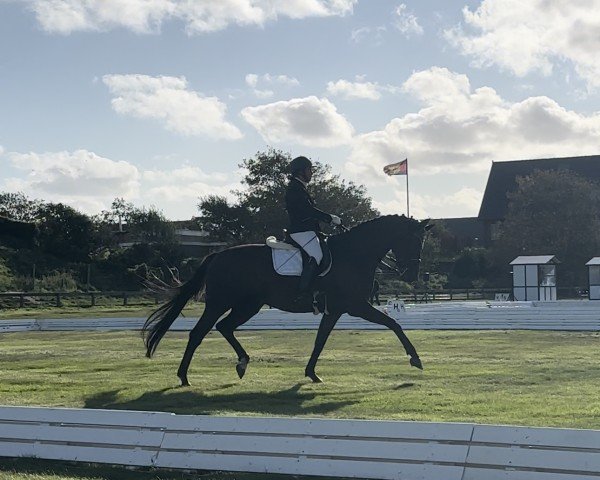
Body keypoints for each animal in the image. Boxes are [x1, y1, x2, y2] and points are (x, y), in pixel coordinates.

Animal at [143, 215, 428, 386]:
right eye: (412, 240)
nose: (411, 275)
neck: (354, 254)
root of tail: (218, 255)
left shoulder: (334, 310)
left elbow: (320, 340)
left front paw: (311, 373)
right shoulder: (356, 306)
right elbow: (393, 324)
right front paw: (415, 359)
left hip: (248, 305)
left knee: (224, 327)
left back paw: (242, 363)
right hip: (220, 303)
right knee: (199, 333)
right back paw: (184, 376)